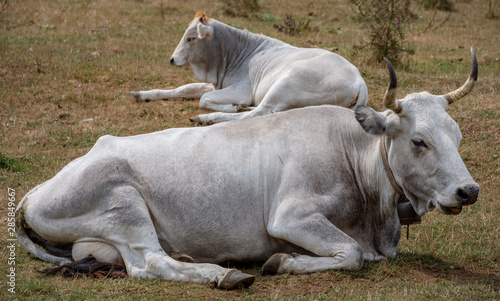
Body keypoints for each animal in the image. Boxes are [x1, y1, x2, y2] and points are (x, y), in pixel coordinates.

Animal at [14, 49, 476, 288]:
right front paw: (281, 262)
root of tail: (34, 193)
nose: (468, 191)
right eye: (418, 141)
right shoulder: (291, 217)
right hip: (123, 208)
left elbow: (361, 254)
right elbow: (351, 254)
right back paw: (225, 275)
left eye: (457, 136)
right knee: (151, 264)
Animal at [131, 12, 370, 123]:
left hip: (286, 80)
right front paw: (141, 93)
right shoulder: (217, 84)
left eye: (191, 38)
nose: (172, 59)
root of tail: (359, 80)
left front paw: (228, 107)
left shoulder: (241, 90)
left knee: (258, 113)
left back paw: (207, 118)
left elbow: (202, 100)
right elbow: (183, 89)